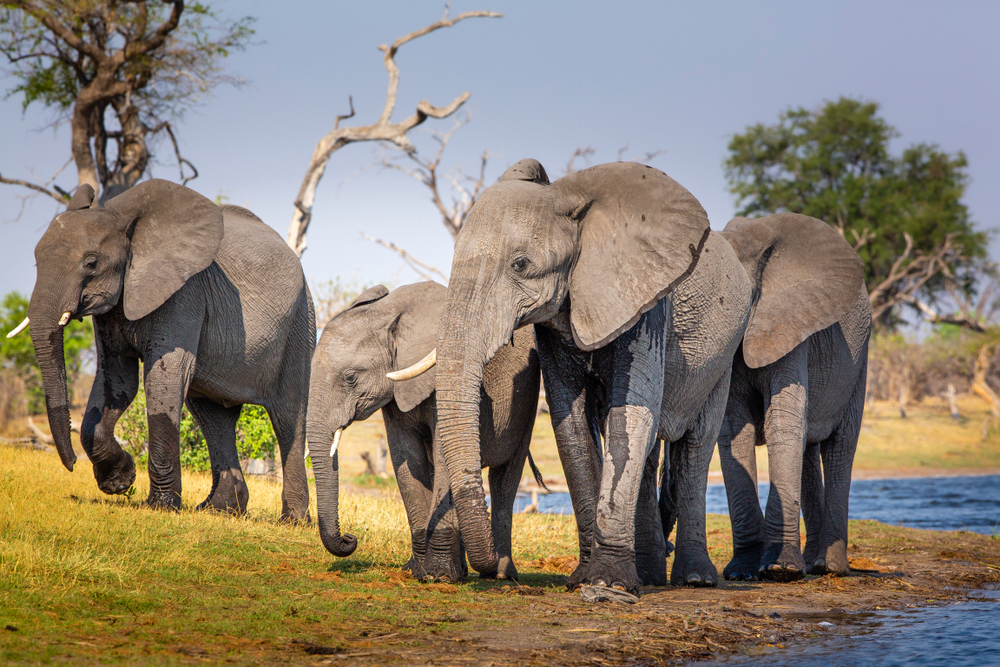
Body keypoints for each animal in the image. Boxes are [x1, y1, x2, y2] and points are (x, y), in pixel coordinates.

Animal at [12, 180, 312, 520]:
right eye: (36, 260)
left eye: (91, 263)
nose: (73, 464)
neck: (123, 221)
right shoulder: (115, 307)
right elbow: (117, 380)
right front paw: (119, 482)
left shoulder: (185, 294)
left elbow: (163, 381)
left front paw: (160, 507)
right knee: (214, 419)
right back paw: (219, 510)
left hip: (300, 323)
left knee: (287, 418)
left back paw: (292, 520)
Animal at [306, 280, 540, 580]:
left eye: (350, 378)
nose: (350, 538)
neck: (387, 313)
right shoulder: (395, 396)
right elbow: (407, 460)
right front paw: (416, 571)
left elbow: (443, 456)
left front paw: (438, 576)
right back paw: (462, 572)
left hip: (527, 398)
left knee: (505, 479)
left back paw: (500, 574)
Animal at [390, 159, 756, 592]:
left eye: (521, 265)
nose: (493, 565)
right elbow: (571, 424)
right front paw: (585, 578)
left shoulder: (646, 301)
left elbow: (630, 417)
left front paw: (610, 583)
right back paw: (649, 575)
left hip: (724, 350)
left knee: (696, 444)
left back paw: (695, 578)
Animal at [716, 213, 872, 580]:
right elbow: (734, 430)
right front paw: (742, 572)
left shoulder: (789, 324)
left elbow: (782, 423)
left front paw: (780, 569)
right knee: (808, 450)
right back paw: (814, 563)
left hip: (859, 362)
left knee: (840, 448)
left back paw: (830, 567)